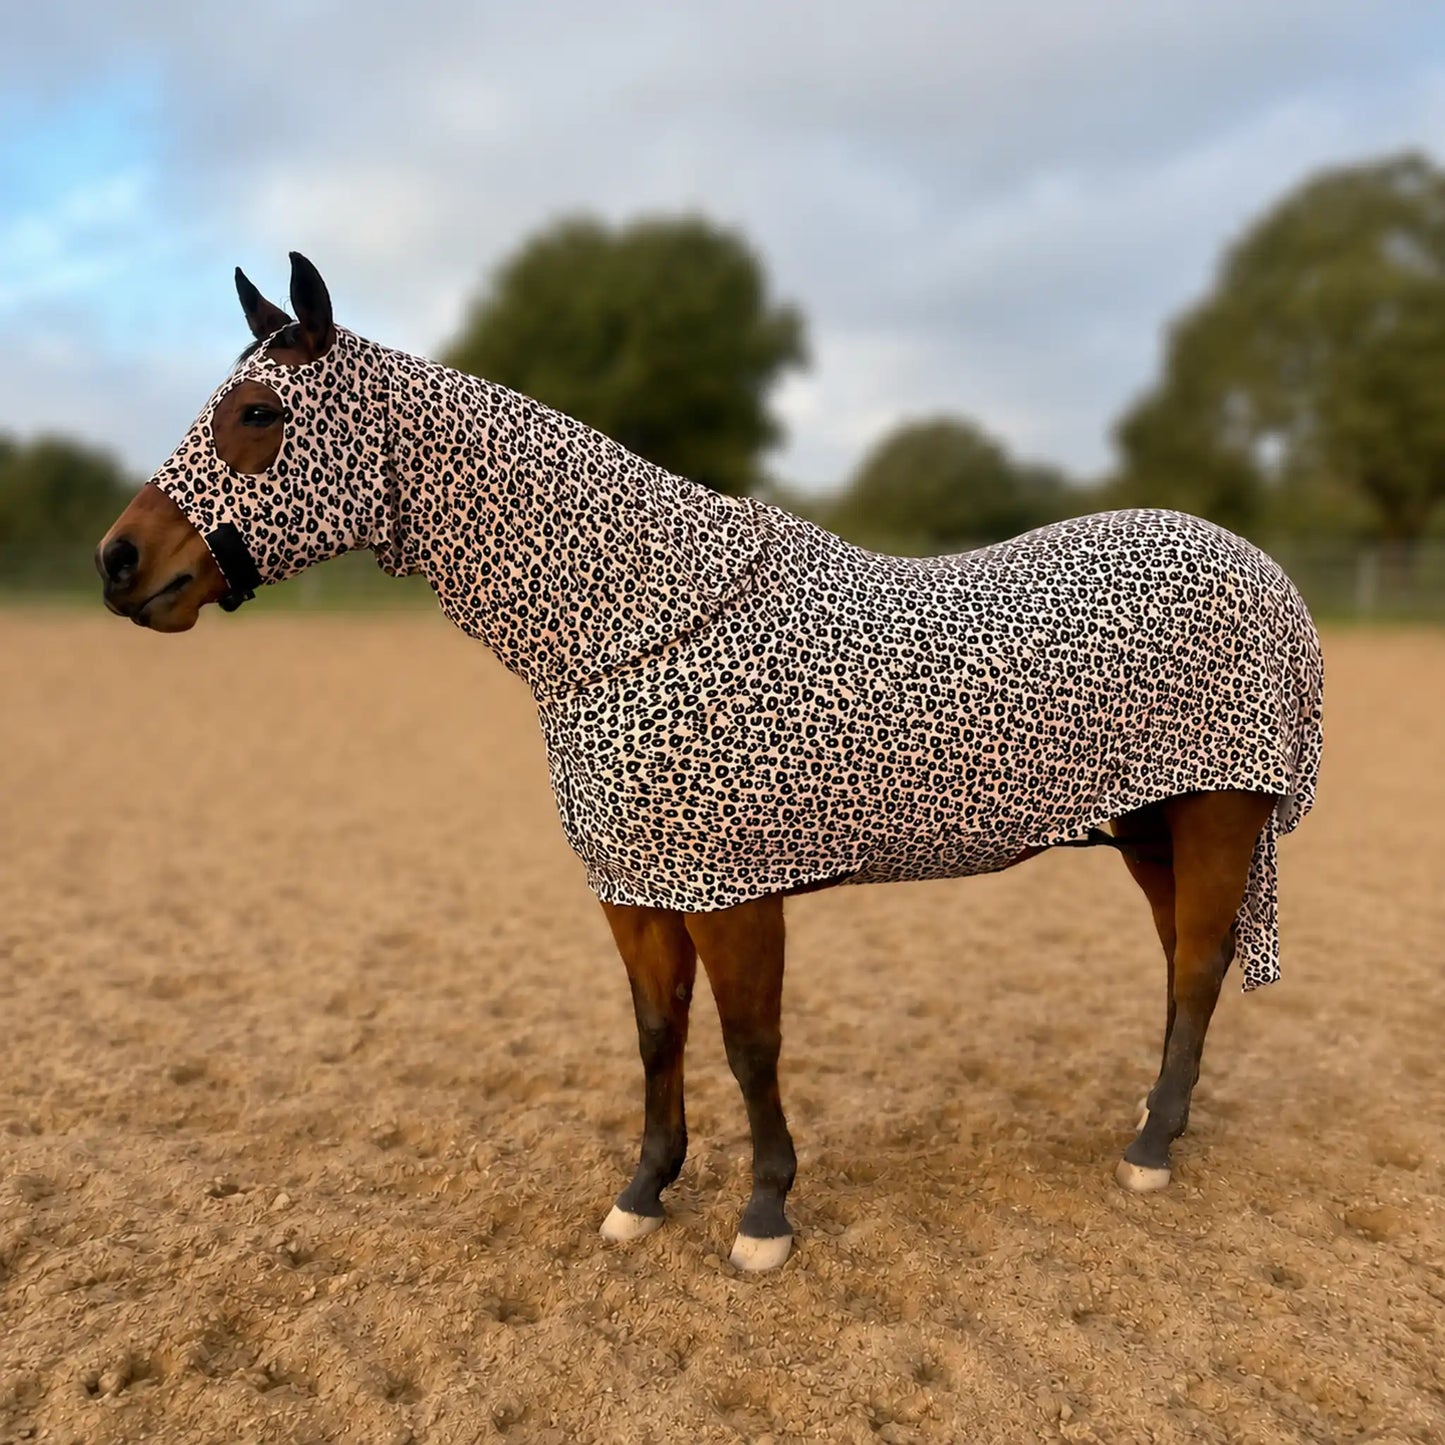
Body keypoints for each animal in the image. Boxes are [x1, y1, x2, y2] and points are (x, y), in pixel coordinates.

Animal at [98, 253, 1323, 1273]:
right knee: (1183, 959)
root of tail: (1265, 573)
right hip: (1148, 825)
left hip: (1214, 814)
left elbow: (747, 1045)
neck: (639, 626)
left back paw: (1150, 1150)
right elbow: (658, 1035)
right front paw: (643, 1191)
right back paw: (1156, 1118)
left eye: (259, 412)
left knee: (1195, 963)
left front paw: (764, 1212)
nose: (120, 562)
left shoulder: (733, 895)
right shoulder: (636, 891)